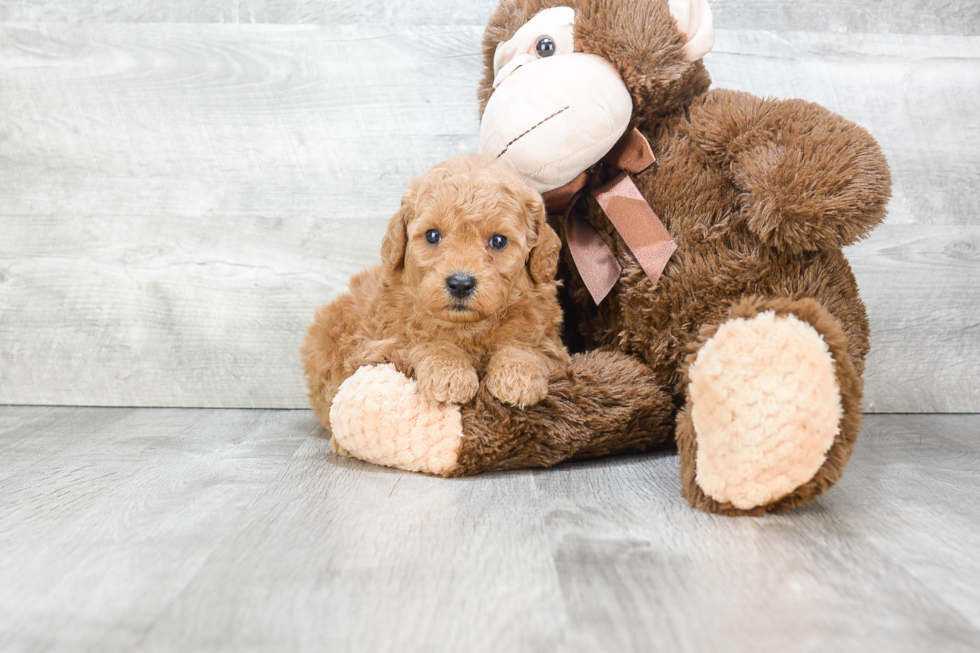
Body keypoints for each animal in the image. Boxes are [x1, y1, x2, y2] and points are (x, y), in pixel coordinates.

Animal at [302, 153, 572, 420]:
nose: (460, 284)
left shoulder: (552, 346)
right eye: (432, 235)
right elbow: (426, 343)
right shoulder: (379, 346)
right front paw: (449, 373)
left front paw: (517, 377)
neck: (467, 328)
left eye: (498, 241)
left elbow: (527, 347)